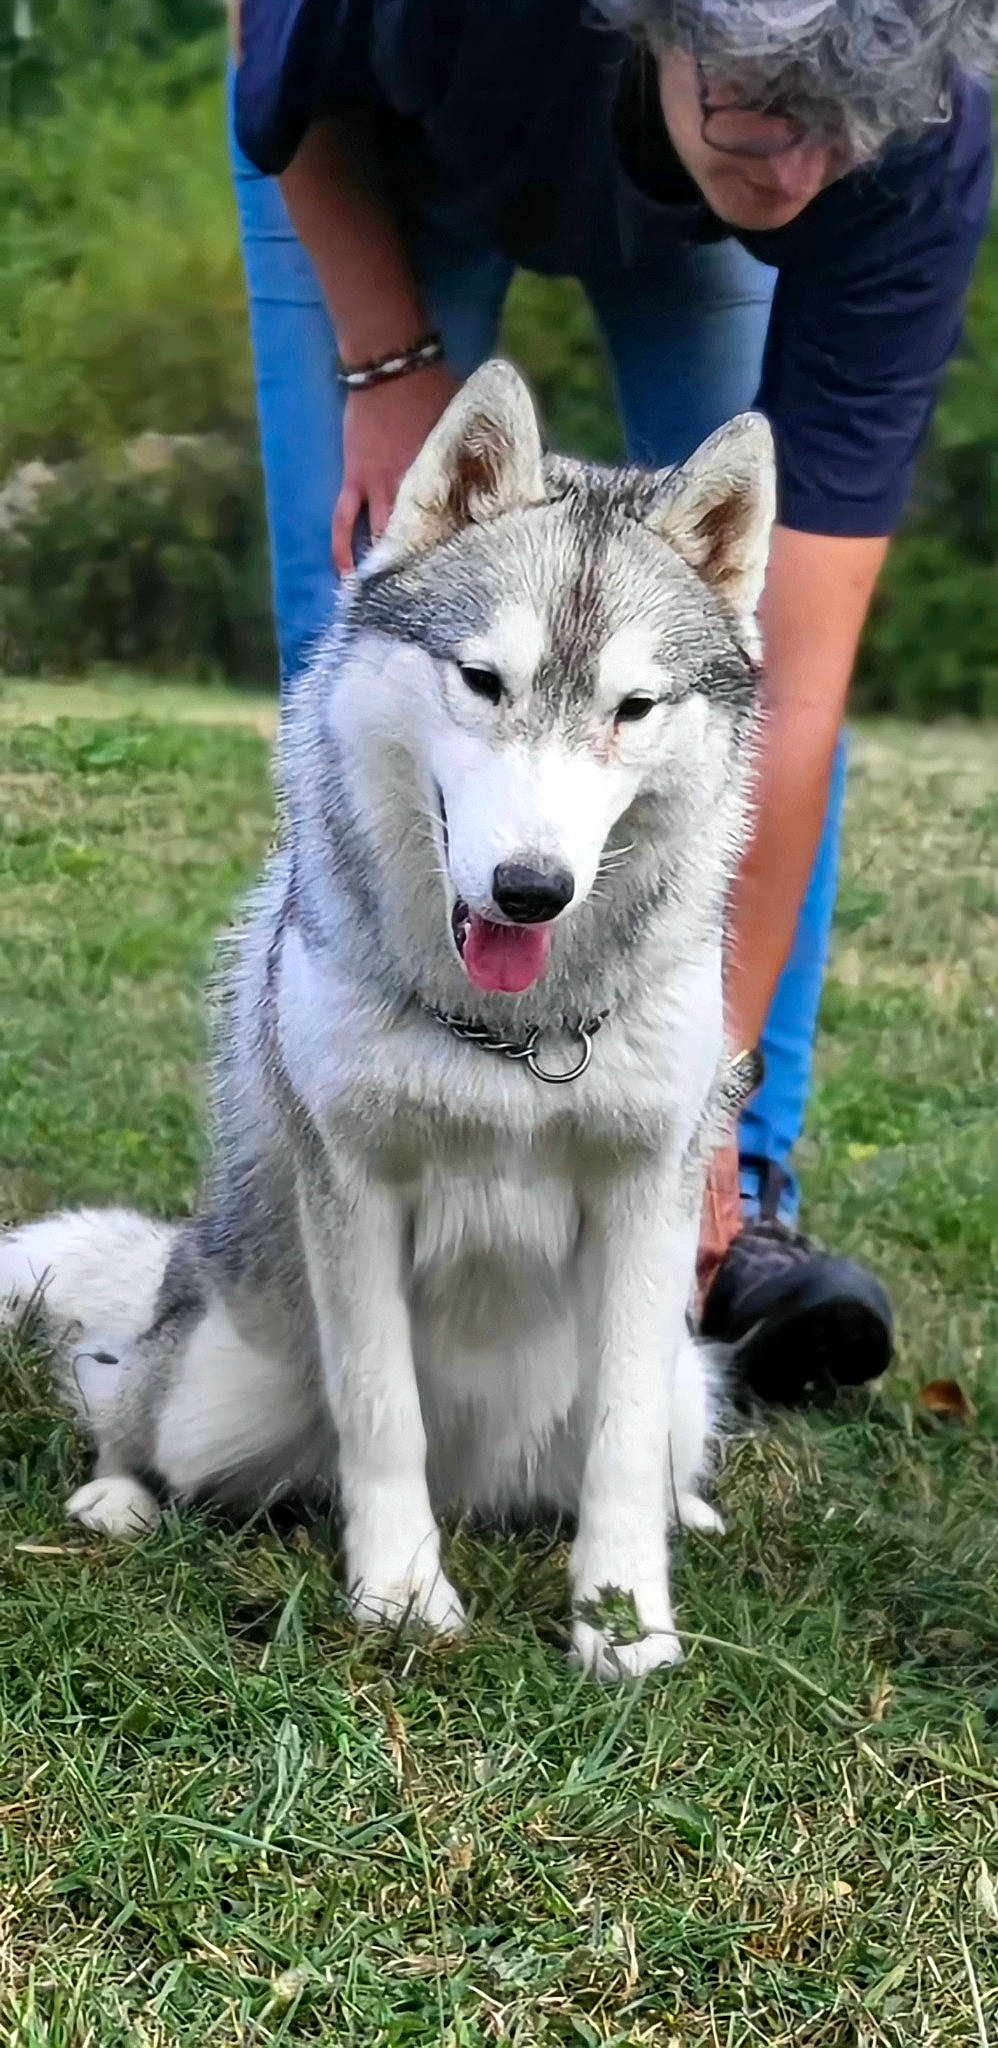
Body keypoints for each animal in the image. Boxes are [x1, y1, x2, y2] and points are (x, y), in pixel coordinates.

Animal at [0, 362, 775, 1678]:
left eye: (631, 706)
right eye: (482, 680)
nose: (529, 887)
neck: (517, 1042)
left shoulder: (645, 1198)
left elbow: (618, 1443)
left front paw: (623, 1621)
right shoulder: (353, 1188)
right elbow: (381, 1413)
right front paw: (403, 1591)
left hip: (688, 1379)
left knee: (648, 1442)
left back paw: (688, 1510)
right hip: (212, 1390)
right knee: (127, 1405)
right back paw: (117, 1494)